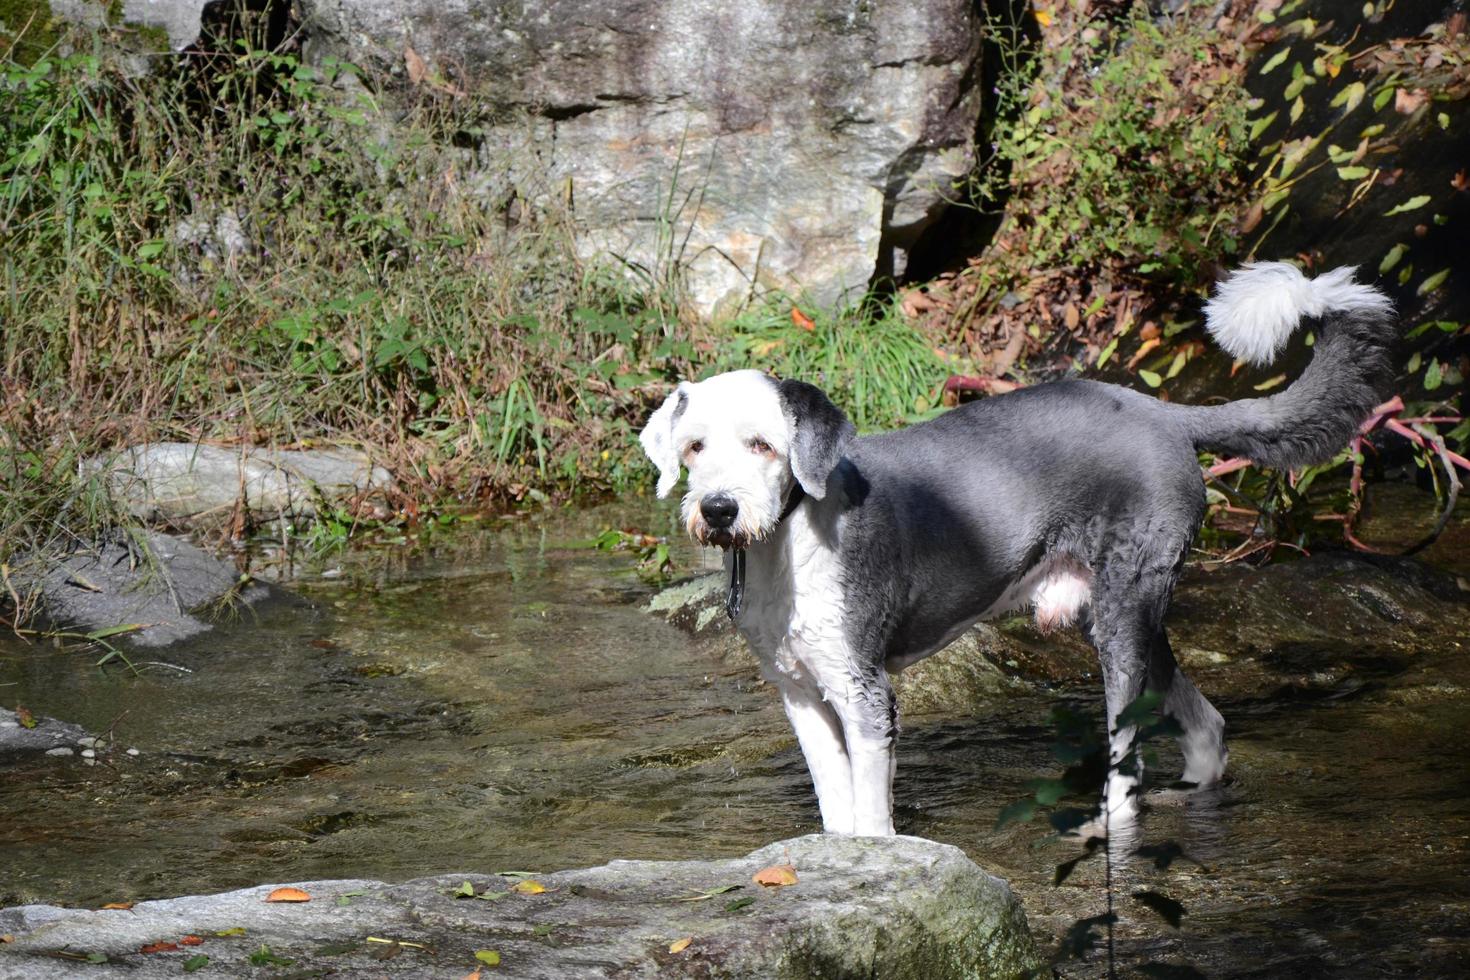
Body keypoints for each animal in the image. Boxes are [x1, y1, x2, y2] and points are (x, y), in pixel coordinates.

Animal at [637, 264, 1393, 840]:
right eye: (694, 447)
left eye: (763, 444)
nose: (718, 509)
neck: (791, 542)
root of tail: (1164, 412)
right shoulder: (801, 692)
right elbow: (836, 807)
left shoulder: (863, 691)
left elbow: (871, 816)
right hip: (1125, 614)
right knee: (1205, 726)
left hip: (1122, 619)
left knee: (1128, 754)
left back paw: (1106, 825)